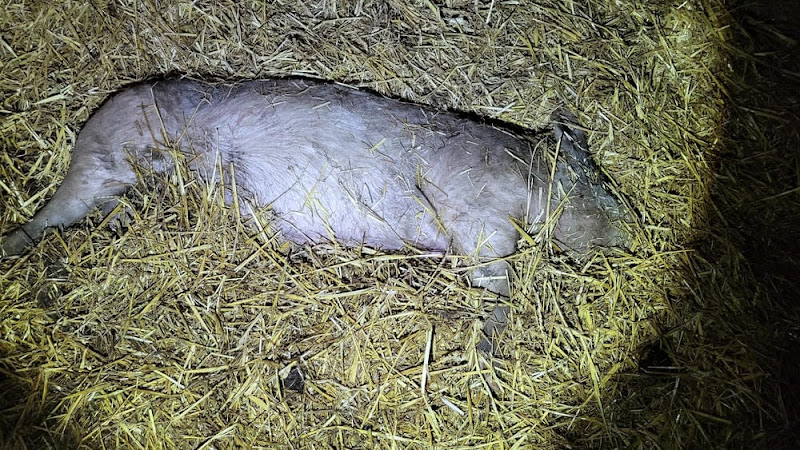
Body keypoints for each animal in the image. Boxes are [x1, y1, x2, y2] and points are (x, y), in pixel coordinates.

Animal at [0, 77, 629, 352]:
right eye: (600, 185)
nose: (631, 236)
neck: (527, 183)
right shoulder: (478, 222)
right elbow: (497, 273)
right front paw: (493, 334)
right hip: (105, 160)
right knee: (49, 216)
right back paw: (14, 245)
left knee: (105, 212)